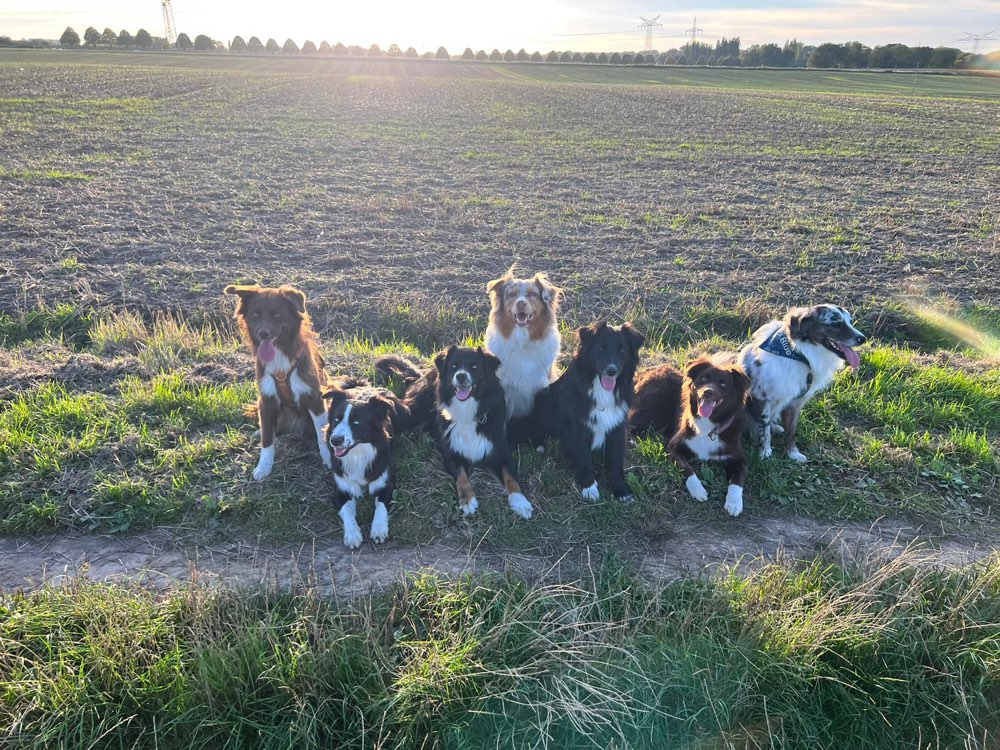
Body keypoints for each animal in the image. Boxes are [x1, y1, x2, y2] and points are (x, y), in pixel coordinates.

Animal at [224, 284, 330, 478]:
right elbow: (267, 438)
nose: (263, 334)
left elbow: (322, 432)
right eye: (255, 315)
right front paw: (264, 466)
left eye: (277, 315)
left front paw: (328, 459)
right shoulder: (266, 400)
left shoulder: (314, 397)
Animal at [632, 356, 752, 520]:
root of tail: (648, 370)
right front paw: (698, 489)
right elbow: (687, 468)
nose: (708, 392)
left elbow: (738, 481)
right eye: (703, 379)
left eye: (723, 384)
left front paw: (734, 503)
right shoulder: (674, 447)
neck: (708, 427)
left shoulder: (740, 459)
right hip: (653, 411)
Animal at [736, 306, 868, 464]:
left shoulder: (795, 402)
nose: (863, 339)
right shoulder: (763, 398)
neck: (799, 355)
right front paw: (766, 454)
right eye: (836, 324)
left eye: (850, 322)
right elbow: (764, 430)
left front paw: (793, 453)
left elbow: (791, 431)